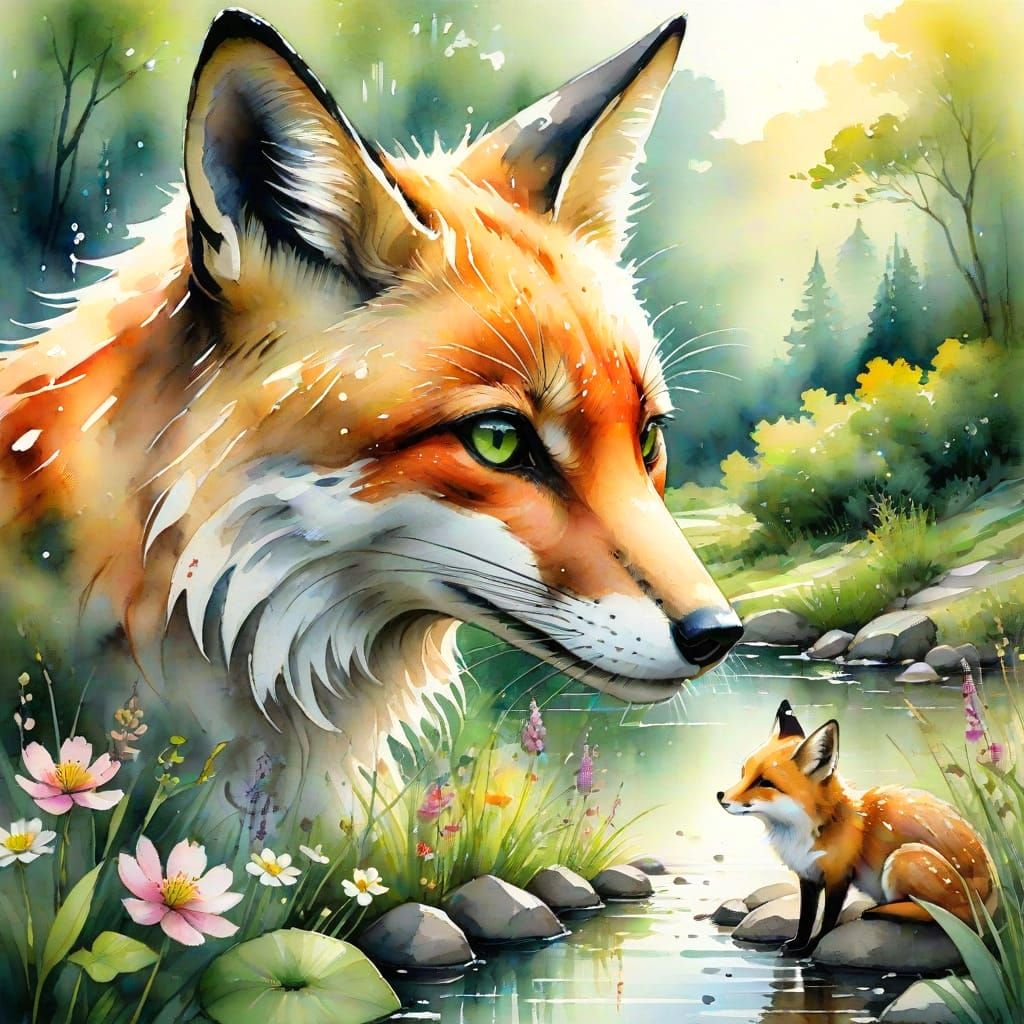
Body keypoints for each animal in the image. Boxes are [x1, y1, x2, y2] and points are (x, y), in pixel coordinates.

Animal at [718, 700, 997, 956]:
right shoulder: (808, 877)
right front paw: (798, 945)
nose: (721, 796)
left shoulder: (838, 876)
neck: (810, 831)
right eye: (743, 773)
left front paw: (811, 948)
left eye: (765, 782)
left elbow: (827, 921)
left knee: (946, 916)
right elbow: (806, 919)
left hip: (903, 858)